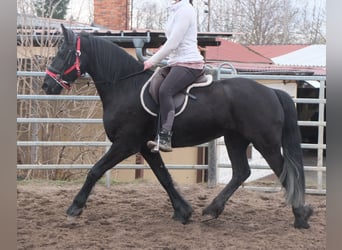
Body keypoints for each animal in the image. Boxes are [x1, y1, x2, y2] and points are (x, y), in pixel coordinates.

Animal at [42, 24, 312, 229]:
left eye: (63, 52)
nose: (47, 85)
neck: (124, 86)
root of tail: (272, 91)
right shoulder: (146, 146)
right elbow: (165, 178)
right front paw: (183, 211)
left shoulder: (125, 144)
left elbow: (95, 171)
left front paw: (74, 208)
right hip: (236, 139)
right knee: (241, 172)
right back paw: (212, 210)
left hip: (265, 143)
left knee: (283, 171)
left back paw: (301, 216)